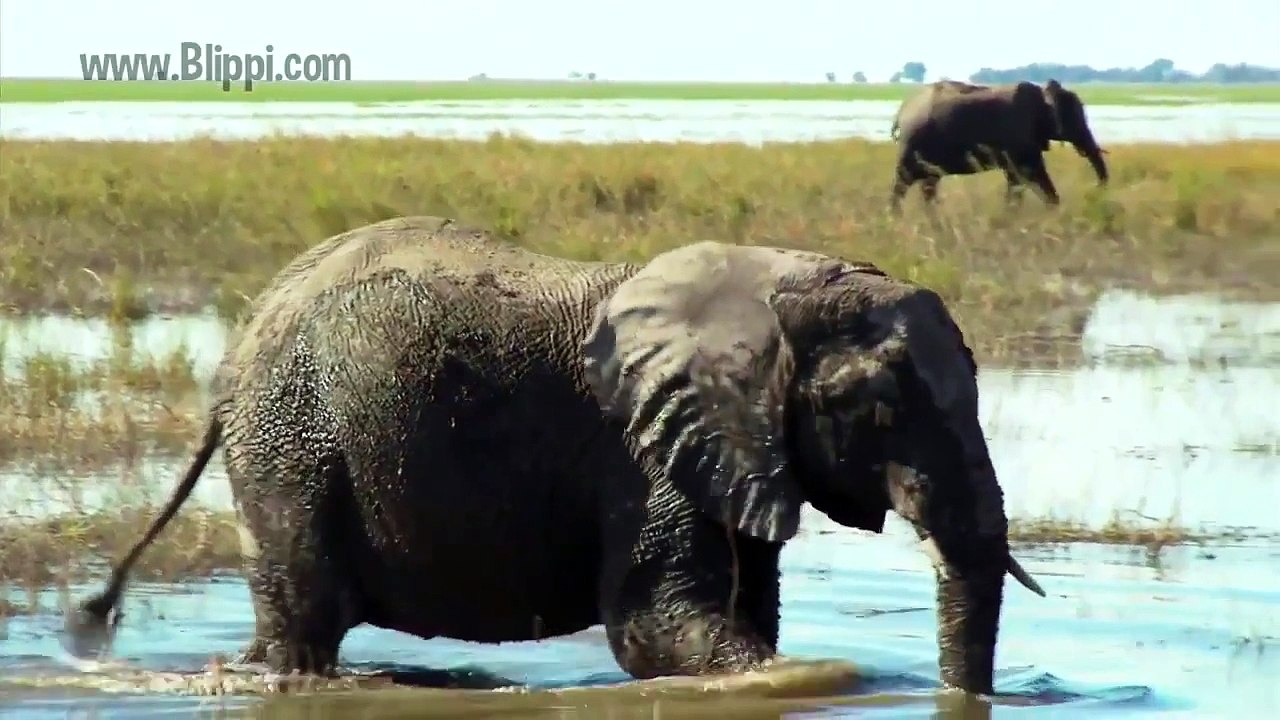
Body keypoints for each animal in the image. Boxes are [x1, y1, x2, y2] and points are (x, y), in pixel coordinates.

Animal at [65, 215, 1045, 696]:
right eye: (870, 407)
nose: (969, 701)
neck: (766, 284)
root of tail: (241, 343)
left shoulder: (731, 447)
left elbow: (741, 609)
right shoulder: (642, 452)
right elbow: (651, 630)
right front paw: (818, 679)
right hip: (291, 442)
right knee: (303, 622)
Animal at [888, 79, 1109, 211]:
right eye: (1076, 118)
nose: (1094, 190)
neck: (1042, 94)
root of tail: (901, 111)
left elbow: (1017, 178)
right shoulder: (1018, 137)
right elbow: (1030, 172)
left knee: (928, 185)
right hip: (912, 145)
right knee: (903, 183)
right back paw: (895, 219)